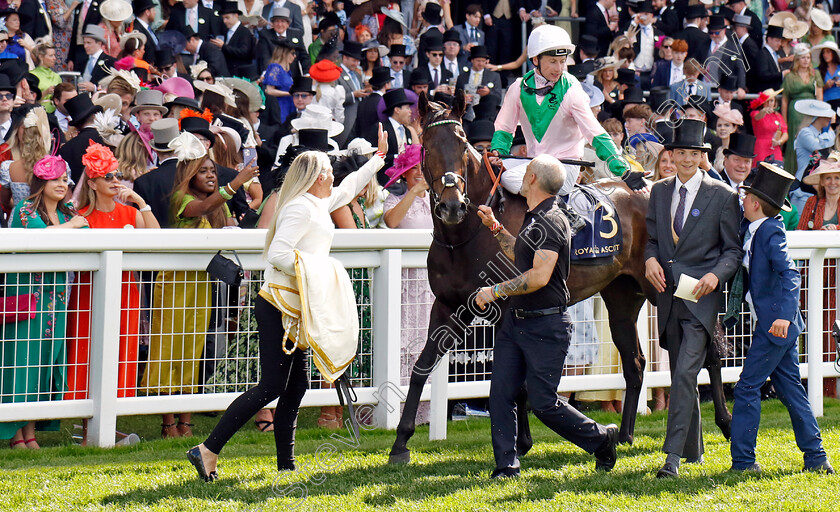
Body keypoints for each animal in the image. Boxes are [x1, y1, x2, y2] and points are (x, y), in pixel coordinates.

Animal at [390, 91, 732, 464]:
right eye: (426, 146)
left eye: (462, 143)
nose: (452, 206)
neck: (463, 236)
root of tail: (657, 186)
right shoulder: (447, 306)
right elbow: (422, 367)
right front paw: (400, 443)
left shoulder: (507, 306)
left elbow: (515, 378)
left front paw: (520, 442)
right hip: (622, 296)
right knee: (635, 362)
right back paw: (625, 435)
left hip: (665, 288)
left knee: (709, 351)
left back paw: (726, 424)